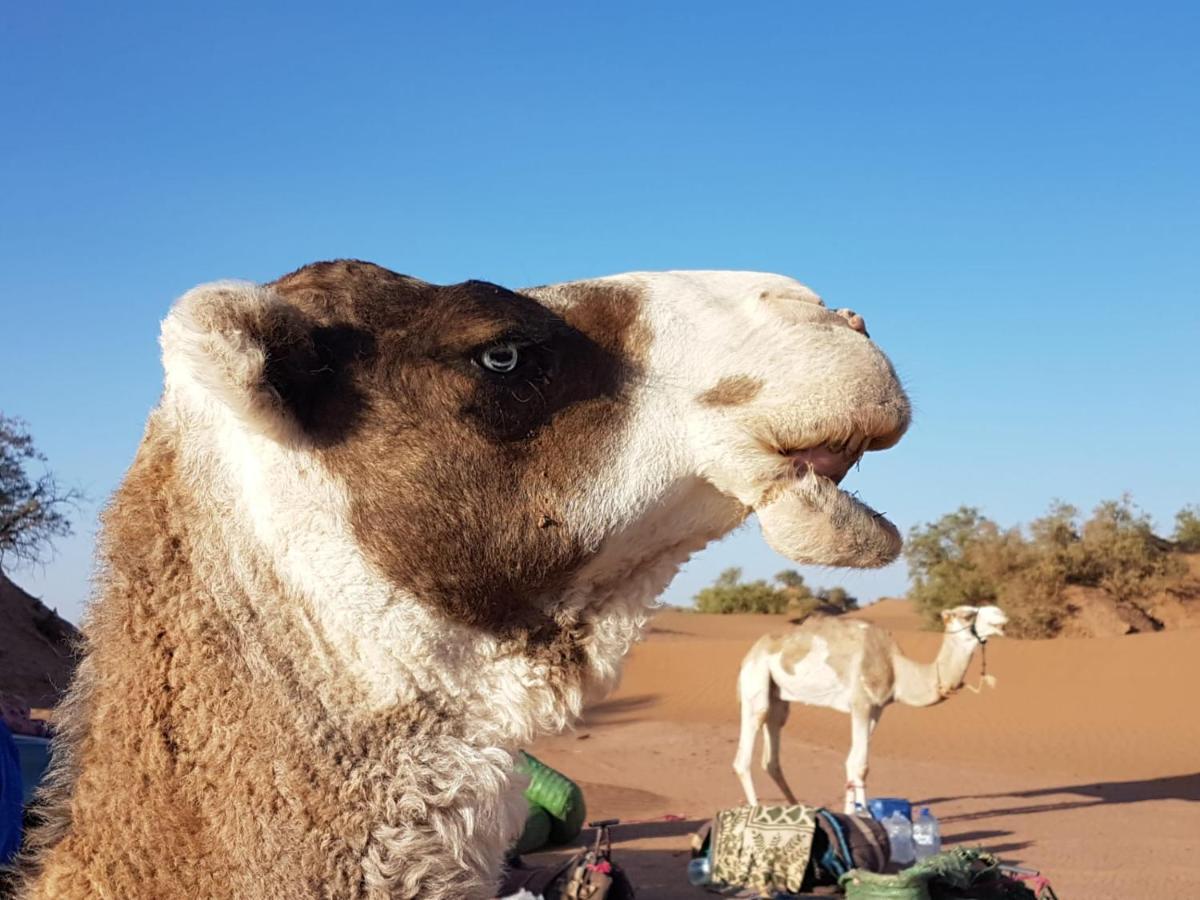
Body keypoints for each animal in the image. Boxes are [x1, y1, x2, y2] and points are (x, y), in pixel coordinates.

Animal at [734, 602, 1008, 816]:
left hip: (778, 699)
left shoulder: (876, 709)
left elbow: (852, 763)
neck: (897, 669)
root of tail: (751, 653)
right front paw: (864, 816)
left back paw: (799, 809)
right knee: (743, 758)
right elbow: (862, 766)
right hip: (755, 685)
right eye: (968, 615)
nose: (1002, 616)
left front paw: (850, 814)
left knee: (772, 756)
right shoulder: (861, 704)